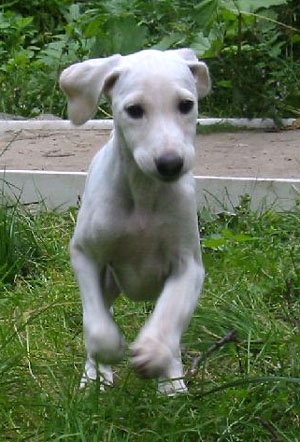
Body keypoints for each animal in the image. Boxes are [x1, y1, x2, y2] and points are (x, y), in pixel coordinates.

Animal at [60, 48, 211, 394]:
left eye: (186, 105)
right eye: (134, 110)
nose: (170, 163)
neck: (143, 194)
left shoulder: (188, 266)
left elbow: (168, 317)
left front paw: (154, 355)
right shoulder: (85, 255)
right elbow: (97, 328)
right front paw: (110, 351)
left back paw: (172, 381)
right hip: (108, 282)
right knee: (100, 314)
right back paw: (95, 377)